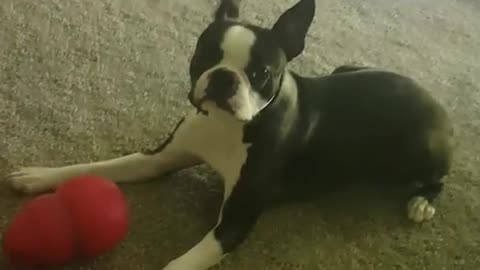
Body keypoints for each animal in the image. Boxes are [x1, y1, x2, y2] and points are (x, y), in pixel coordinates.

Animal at [5, 0, 452, 270]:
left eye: (262, 73)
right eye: (204, 55)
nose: (223, 77)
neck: (228, 125)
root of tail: (429, 94)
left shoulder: (234, 223)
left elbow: (177, 264)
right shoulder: (158, 159)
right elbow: (104, 166)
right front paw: (39, 175)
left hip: (424, 145)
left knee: (438, 177)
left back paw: (421, 203)